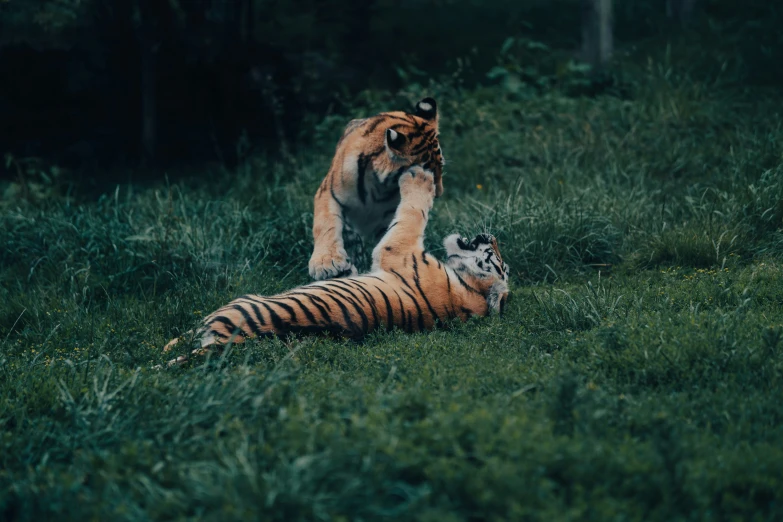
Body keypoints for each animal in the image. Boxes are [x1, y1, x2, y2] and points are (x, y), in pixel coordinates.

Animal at [165, 169, 508, 364]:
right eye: (498, 254)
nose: (491, 235)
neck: (470, 292)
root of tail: (233, 343)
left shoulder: (398, 246)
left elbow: (414, 211)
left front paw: (420, 177)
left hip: (237, 302)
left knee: (182, 339)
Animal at [310, 95, 448, 278]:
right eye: (429, 170)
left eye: (441, 167)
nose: (439, 193)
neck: (379, 186)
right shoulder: (328, 192)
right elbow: (325, 224)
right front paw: (326, 263)